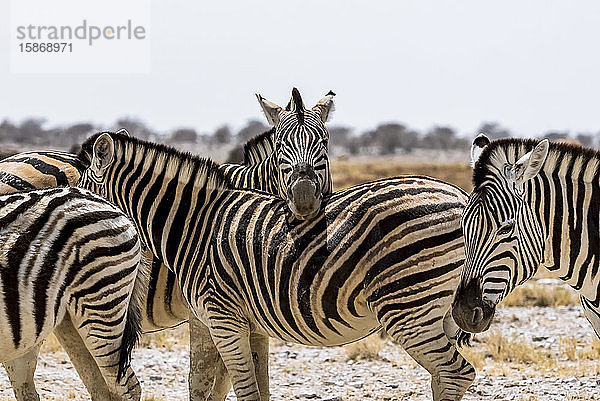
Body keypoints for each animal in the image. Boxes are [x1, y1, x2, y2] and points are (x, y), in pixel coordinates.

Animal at [79, 130, 476, 398]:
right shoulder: (241, 322)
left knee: (455, 373)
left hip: (407, 307)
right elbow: (246, 387)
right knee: (446, 377)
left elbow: (241, 388)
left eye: (81, 189)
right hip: (435, 311)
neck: (196, 225)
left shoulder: (223, 318)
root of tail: (460, 196)